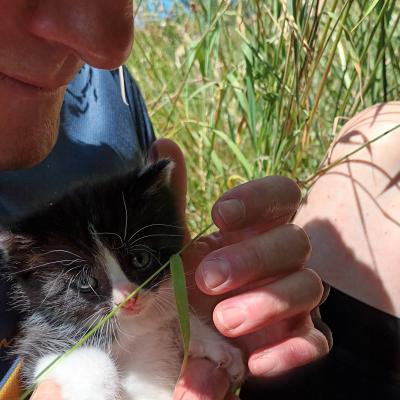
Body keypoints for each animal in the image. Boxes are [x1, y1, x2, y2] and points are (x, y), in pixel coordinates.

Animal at [1, 160, 245, 400]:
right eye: (86, 282)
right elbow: (83, 359)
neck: (133, 324)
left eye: (140, 259)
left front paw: (218, 347)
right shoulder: (38, 340)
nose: (130, 297)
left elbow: (176, 316)